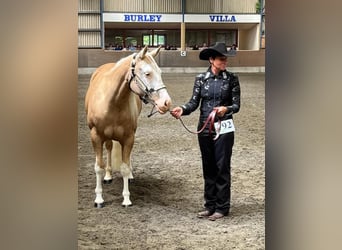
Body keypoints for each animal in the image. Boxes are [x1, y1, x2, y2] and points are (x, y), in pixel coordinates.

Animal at [85, 47, 171, 207]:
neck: (112, 101)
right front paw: (99, 198)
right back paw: (108, 176)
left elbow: (124, 167)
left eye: (160, 72)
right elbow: (98, 167)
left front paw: (126, 199)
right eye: (147, 73)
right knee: (109, 148)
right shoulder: (96, 137)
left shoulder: (128, 137)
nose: (166, 103)